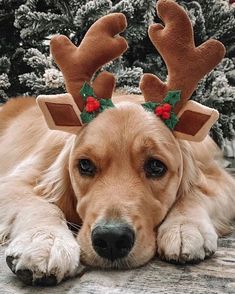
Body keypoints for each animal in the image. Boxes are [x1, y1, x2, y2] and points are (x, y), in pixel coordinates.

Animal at [0, 0, 235, 288]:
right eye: (85, 165)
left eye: (156, 166)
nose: (111, 239)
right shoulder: (20, 178)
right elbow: (38, 204)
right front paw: (45, 242)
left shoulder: (221, 175)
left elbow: (199, 191)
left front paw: (185, 227)